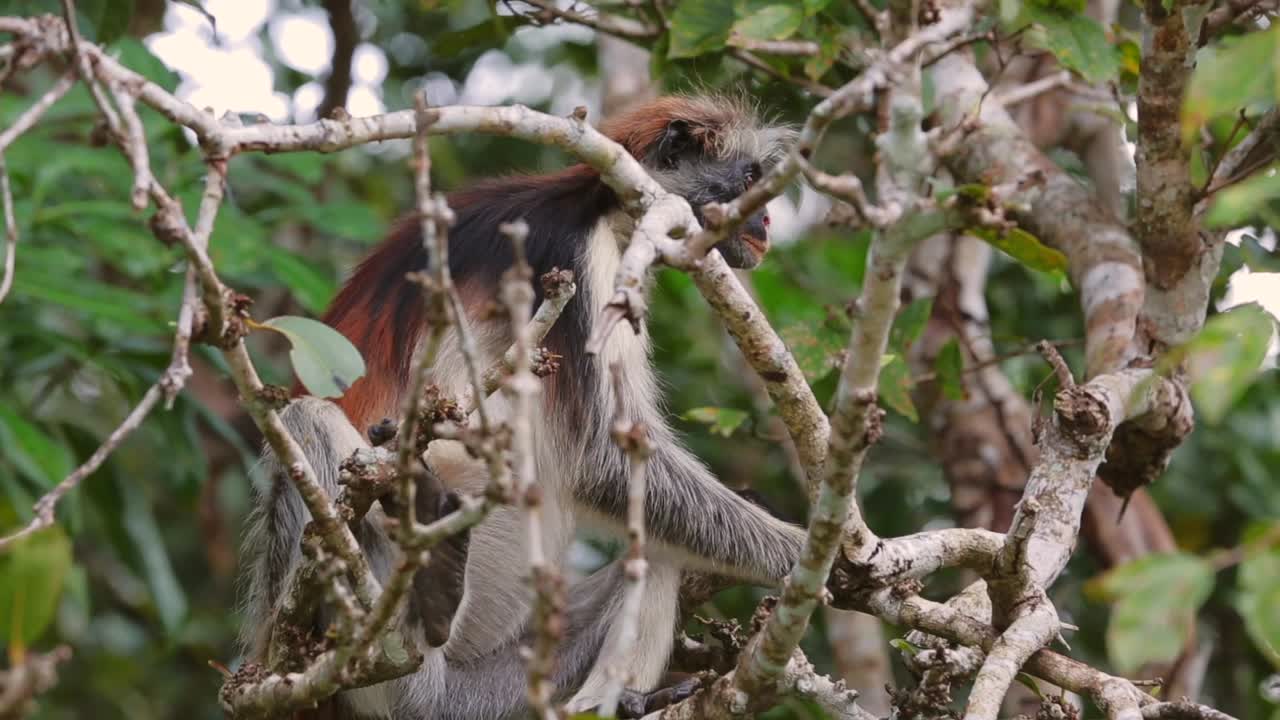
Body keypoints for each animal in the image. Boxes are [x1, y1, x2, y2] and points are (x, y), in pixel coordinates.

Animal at [238, 95, 810, 719]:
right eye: (750, 180)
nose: (765, 223)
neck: (599, 207)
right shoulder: (572, 258)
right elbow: (603, 464)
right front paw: (815, 558)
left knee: (659, 553)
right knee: (307, 418)